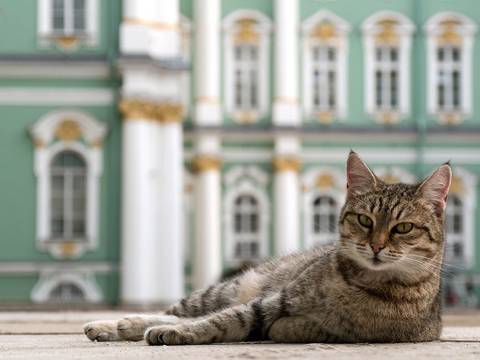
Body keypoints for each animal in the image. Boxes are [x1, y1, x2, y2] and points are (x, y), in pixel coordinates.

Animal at [85, 150, 450, 344]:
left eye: (403, 227)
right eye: (364, 220)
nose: (374, 246)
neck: (360, 283)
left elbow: (224, 323)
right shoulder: (274, 300)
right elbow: (221, 320)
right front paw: (176, 331)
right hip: (227, 289)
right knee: (179, 311)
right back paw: (115, 324)